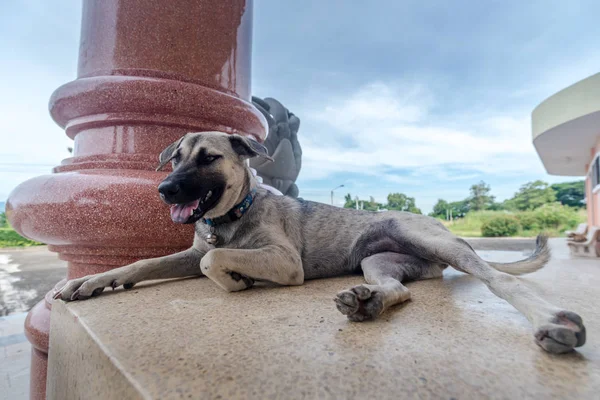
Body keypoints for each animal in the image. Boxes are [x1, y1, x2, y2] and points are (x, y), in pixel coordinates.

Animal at [54, 130, 588, 354]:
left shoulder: (284, 262)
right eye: (176, 158)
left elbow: (216, 263)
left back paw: (552, 322)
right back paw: (367, 302)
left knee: (499, 280)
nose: (164, 190)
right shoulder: (190, 252)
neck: (232, 215)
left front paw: (238, 278)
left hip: (432, 241)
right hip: (379, 261)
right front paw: (90, 281)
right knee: (401, 290)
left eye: (208, 158)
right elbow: (143, 263)